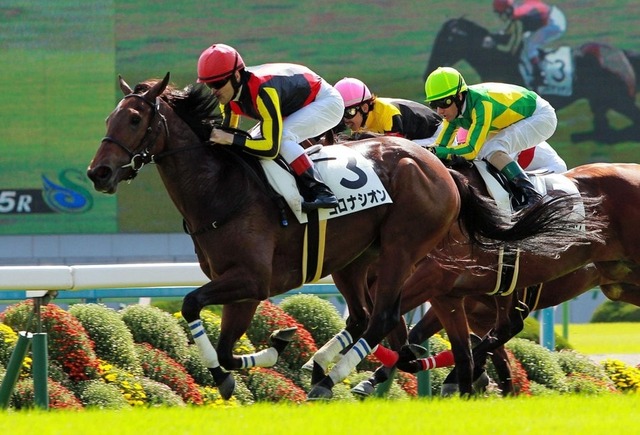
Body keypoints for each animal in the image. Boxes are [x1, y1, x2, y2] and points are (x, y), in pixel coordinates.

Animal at [87, 73, 593, 401]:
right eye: (110, 118)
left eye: (134, 120)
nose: (99, 173)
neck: (222, 189)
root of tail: (437, 167)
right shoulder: (243, 288)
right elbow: (227, 349)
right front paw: (267, 351)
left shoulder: (251, 280)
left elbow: (193, 304)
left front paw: (260, 362)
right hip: (356, 261)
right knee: (374, 321)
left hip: (403, 251)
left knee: (385, 317)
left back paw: (340, 379)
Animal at [424, 17, 640, 144]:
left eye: (448, 39)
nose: (428, 69)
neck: (498, 62)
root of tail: (621, 54)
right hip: (600, 102)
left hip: (619, 100)